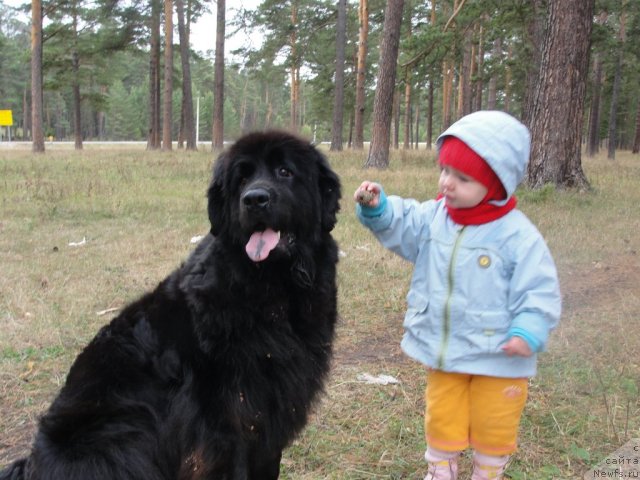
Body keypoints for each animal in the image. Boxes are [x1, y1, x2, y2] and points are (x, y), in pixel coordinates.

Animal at [1, 131, 340, 480]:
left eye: (285, 172)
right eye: (242, 179)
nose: (254, 199)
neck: (274, 291)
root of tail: (32, 466)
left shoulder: (275, 409)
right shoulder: (234, 415)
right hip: (123, 433)